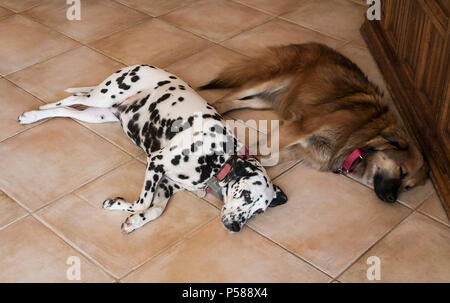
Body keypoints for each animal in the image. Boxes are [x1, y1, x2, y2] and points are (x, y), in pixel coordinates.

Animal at [18, 65, 288, 234]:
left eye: (259, 211)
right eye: (246, 195)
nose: (235, 228)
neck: (218, 158)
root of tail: (141, 66)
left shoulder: (165, 184)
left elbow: (155, 210)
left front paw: (131, 218)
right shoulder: (156, 162)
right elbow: (142, 202)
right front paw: (122, 207)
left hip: (98, 114)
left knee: (65, 111)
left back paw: (35, 116)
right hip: (103, 96)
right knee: (67, 100)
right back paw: (36, 110)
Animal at [200, 42, 428, 203]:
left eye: (408, 187)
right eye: (402, 171)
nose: (392, 200)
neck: (361, 136)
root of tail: (313, 44)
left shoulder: (303, 148)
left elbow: (268, 156)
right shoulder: (299, 127)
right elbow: (266, 148)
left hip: (271, 101)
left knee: (233, 101)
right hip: (269, 82)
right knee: (229, 95)